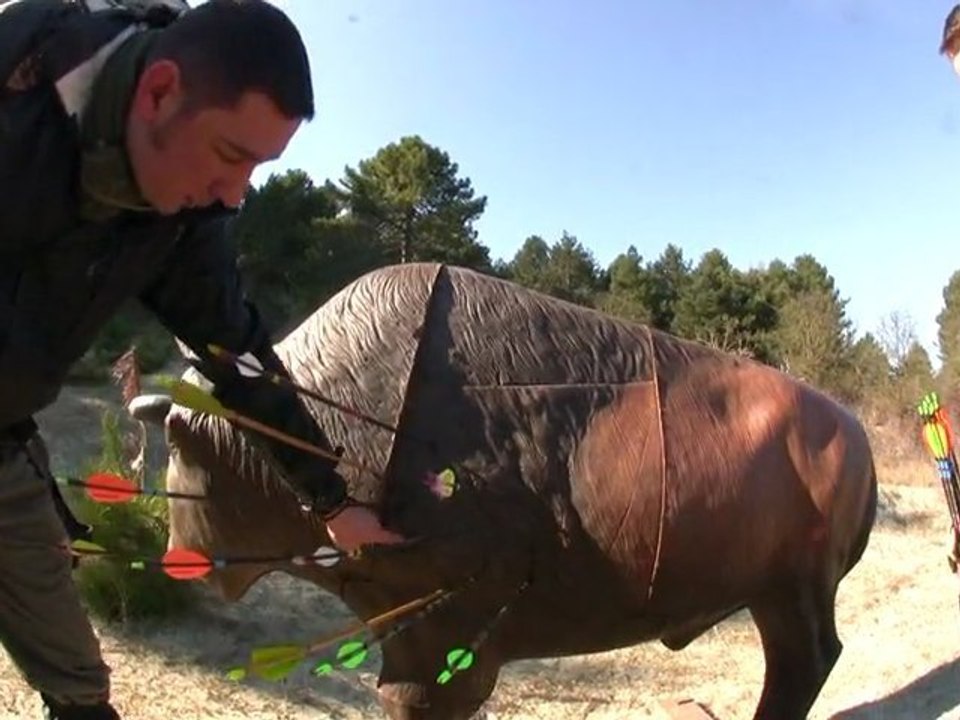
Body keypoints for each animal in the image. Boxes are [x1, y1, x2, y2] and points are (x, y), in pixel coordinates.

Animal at [132, 262, 878, 720]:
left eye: (176, 452)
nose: (173, 553)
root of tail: (858, 436)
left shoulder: (445, 632)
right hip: (776, 594)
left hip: (794, 590)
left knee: (806, 661)